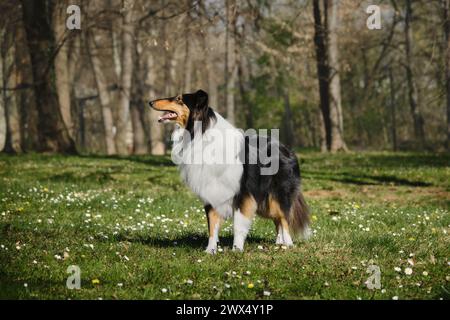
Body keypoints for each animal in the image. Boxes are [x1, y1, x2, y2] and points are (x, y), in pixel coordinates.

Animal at [149, 89, 312, 252]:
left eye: (179, 99)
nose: (150, 102)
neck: (200, 134)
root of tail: (286, 148)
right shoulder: (211, 189)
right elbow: (212, 224)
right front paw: (210, 251)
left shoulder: (243, 194)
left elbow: (238, 224)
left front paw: (237, 249)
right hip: (265, 201)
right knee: (277, 219)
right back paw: (279, 243)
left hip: (278, 195)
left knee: (284, 218)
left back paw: (288, 244)